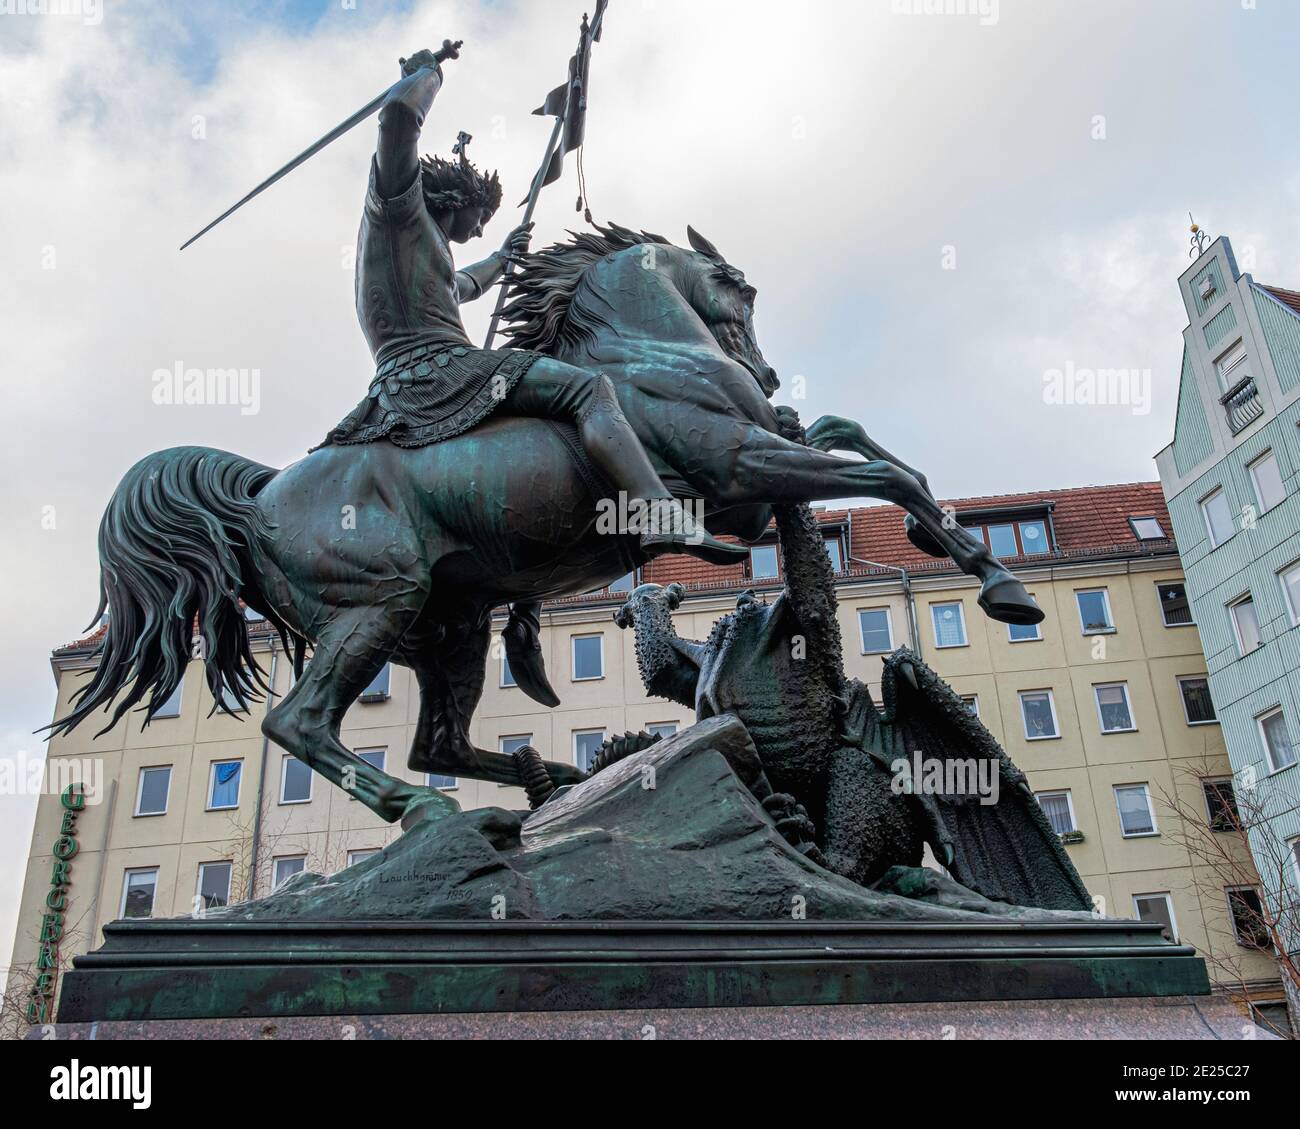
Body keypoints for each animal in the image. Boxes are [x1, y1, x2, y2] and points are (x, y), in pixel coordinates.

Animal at [55, 222, 1040, 822]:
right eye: (741, 286)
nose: (763, 371)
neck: (645, 353)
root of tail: (257, 495)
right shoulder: (742, 472)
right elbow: (879, 468)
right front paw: (1001, 583)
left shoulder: (761, 474)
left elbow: (860, 441)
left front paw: (965, 551)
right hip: (374, 605)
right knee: (301, 725)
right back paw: (423, 806)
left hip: (447, 628)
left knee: (438, 738)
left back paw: (557, 776)